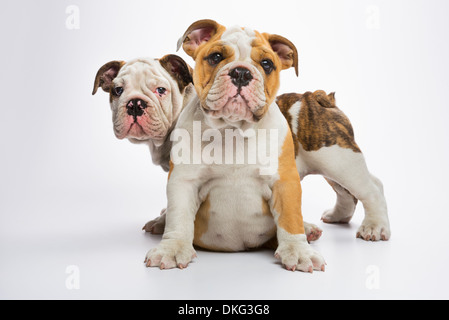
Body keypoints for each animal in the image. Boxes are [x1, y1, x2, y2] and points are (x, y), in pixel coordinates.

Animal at [145, 18, 324, 272]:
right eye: (216, 57)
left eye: (267, 64)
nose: (241, 72)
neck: (233, 130)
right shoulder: (183, 181)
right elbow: (179, 218)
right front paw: (171, 248)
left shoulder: (285, 181)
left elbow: (290, 219)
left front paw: (299, 252)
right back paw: (159, 222)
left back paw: (308, 229)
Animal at [276, 91, 388, 241]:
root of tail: (311, 96)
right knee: (353, 189)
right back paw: (337, 216)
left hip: (337, 161)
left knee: (369, 190)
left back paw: (374, 225)